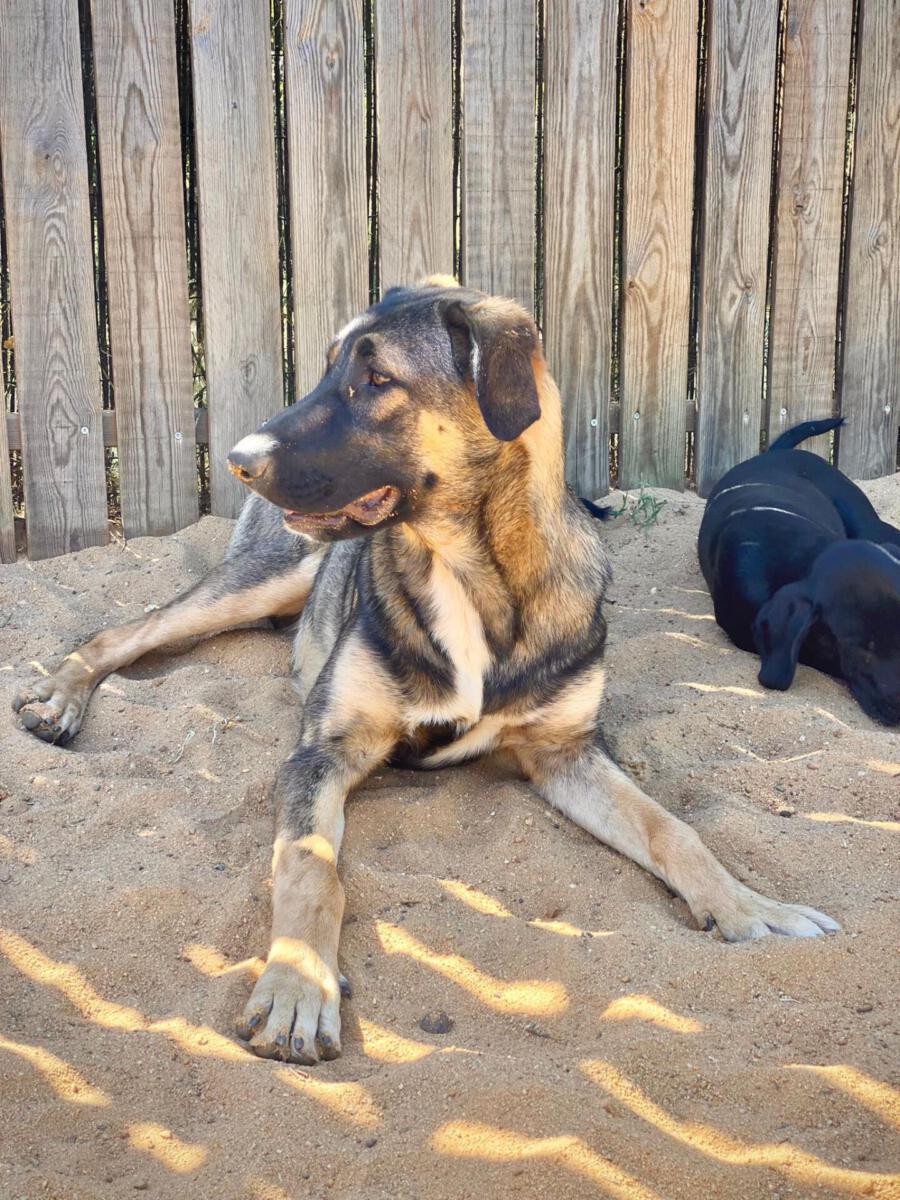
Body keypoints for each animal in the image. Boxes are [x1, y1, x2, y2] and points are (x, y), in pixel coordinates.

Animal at [13, 278, 839, 1065]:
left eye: (377, 378)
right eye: (329, 367)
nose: (239, 461)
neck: (468, 571)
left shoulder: (567, 752)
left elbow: (674, 828)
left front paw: (751, 907)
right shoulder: (321, 754)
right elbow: (310, 866)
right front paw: (297, 986)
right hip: (262, 580)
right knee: (128, 630)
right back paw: (58, 697)